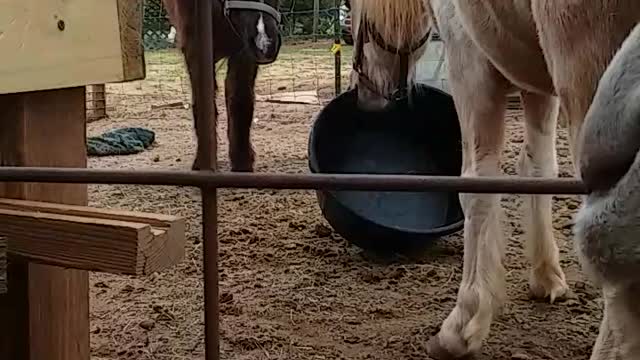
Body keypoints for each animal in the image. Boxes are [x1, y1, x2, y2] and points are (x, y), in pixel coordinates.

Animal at [162, 0, 280, 172]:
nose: (265, 46)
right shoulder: (195, 48)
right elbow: (204, 103)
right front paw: (204, 164)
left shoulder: (243, 51)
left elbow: (240, 101)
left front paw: (242, 163)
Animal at [350, 0, 640, 358]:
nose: (362, 94)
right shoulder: (537, 87)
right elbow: (539, 169)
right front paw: (546, 277)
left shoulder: (468, 61)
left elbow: (476, 184)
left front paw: (463, 323)